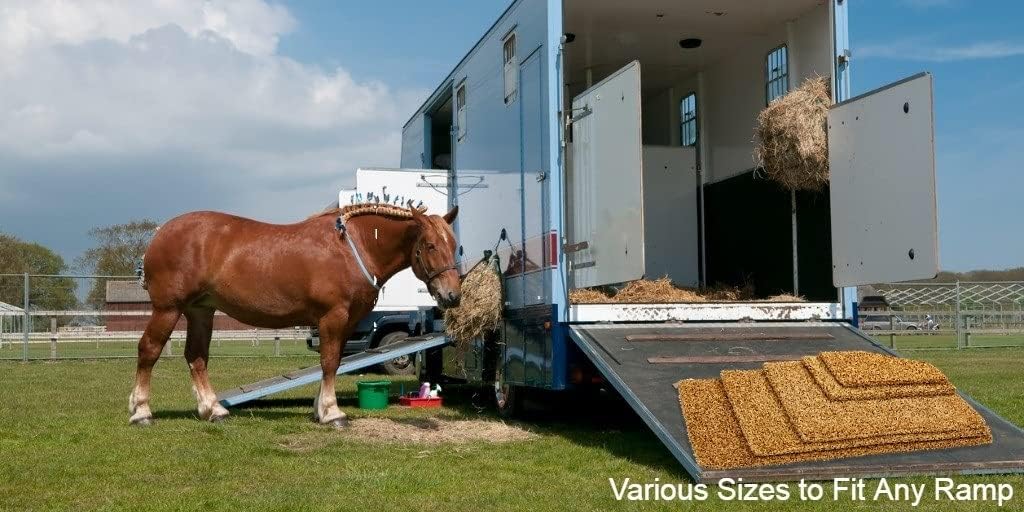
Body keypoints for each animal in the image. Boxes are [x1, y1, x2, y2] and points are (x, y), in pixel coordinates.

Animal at [128, 202, 460, 427]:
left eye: (454, 245)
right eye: (430, 245)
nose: (452, 295)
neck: (353, 248)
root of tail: (160, 234)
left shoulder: (346, 322)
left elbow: (333, 362)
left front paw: (320, 409)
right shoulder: (333, 317)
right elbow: (329, 362)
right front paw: (332, 413)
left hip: (201, 311)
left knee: (196, 357)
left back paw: (213, 410)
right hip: (168, 309)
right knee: (149, 350)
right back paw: (141, 412)